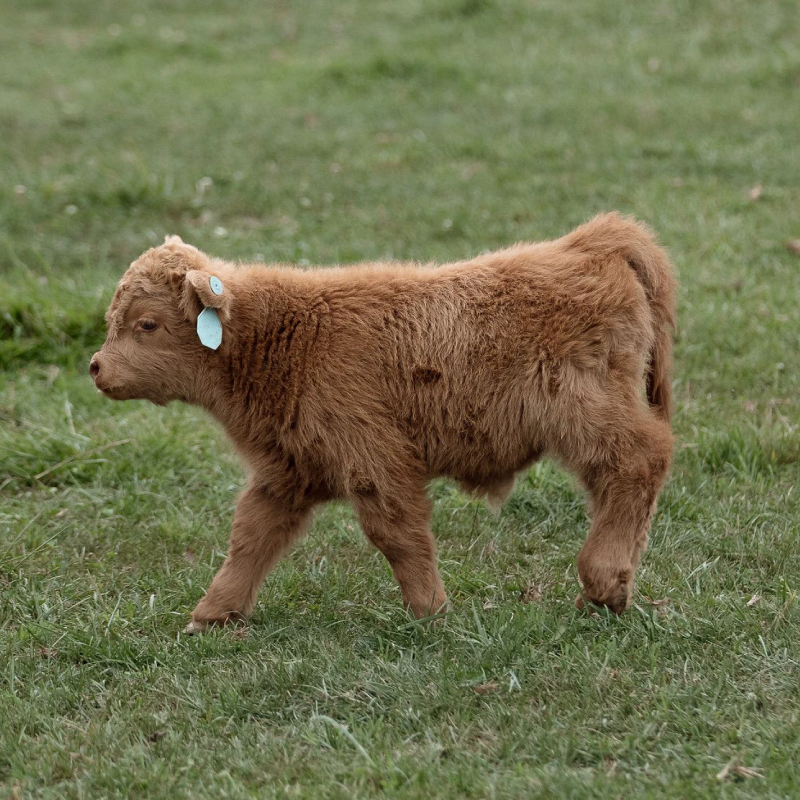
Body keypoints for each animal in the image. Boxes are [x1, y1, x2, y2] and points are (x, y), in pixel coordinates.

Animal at [89, 212, 676, 632]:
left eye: (147, 323)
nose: (96, 367)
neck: (285, 339)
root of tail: (588, 242)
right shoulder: (286, 472)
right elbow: (250, 538)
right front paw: (212, 614)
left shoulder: (374, 461)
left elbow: (397, 535)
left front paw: (431, 611)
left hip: (584, 413)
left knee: (639, 462)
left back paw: (602, 584)